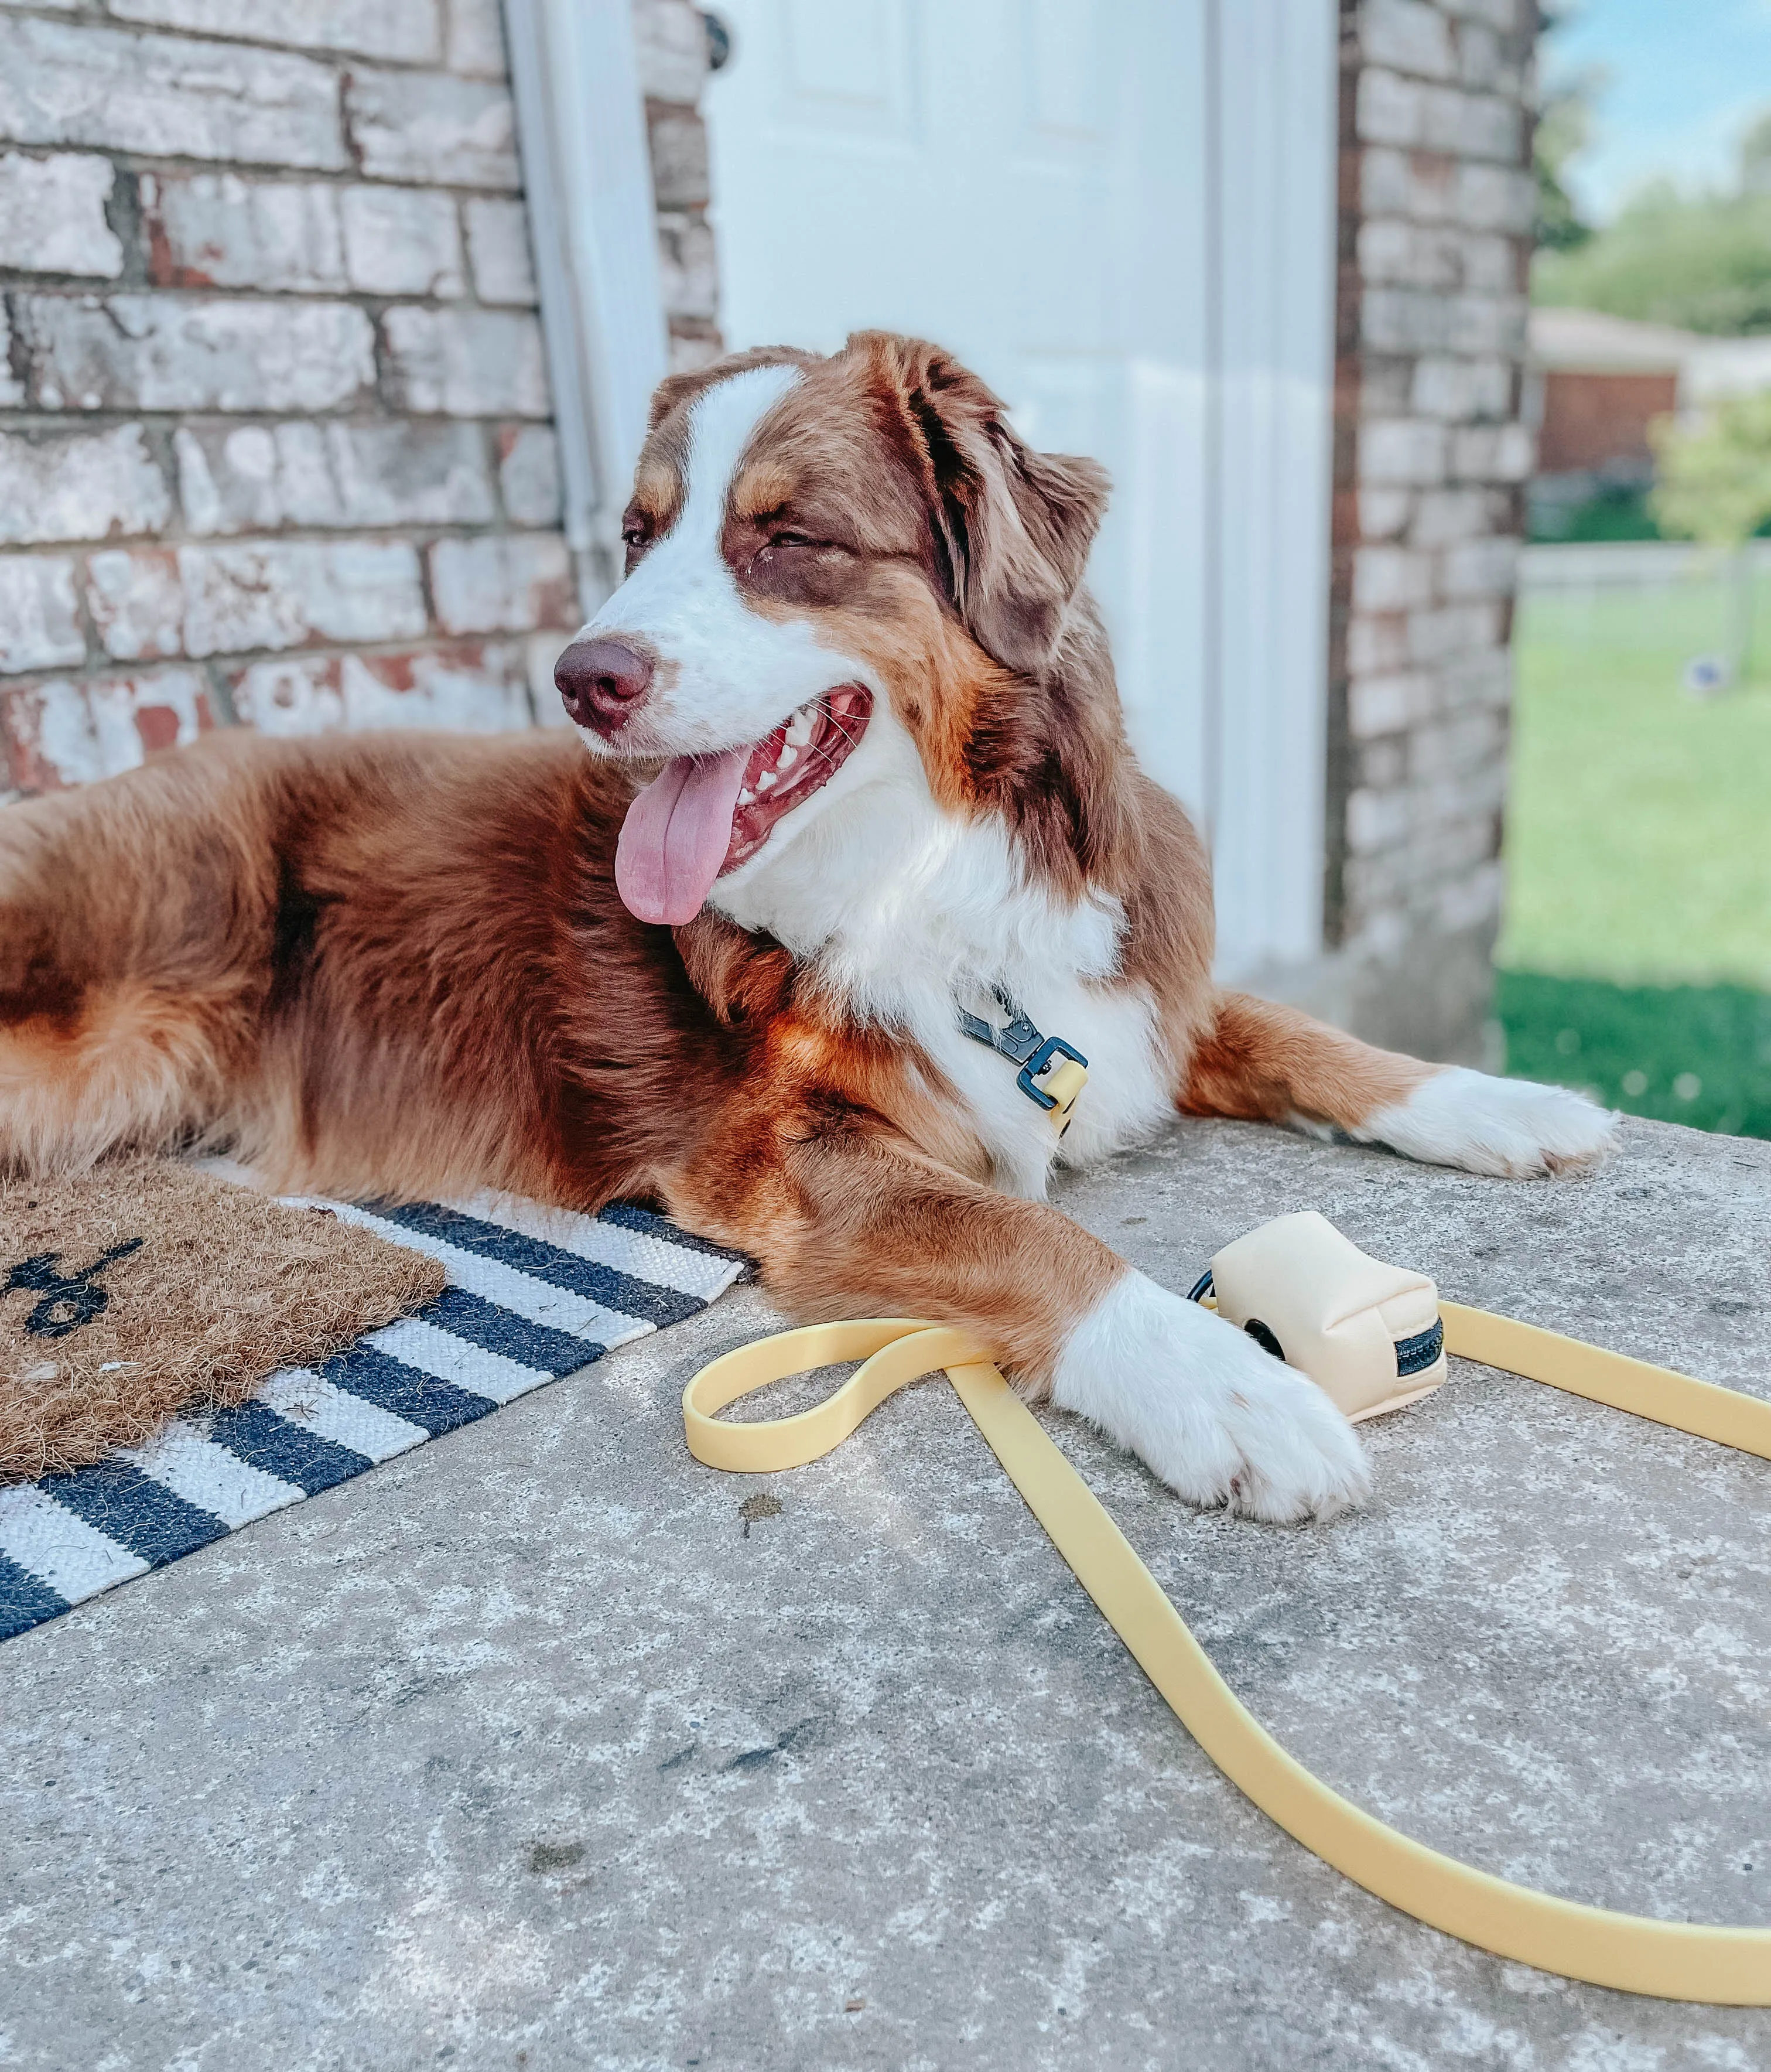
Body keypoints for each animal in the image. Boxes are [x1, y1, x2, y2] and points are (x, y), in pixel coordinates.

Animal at [0, 335, 1623, 1525]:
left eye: (789, 537)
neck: (931, 873)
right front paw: (1226, 1387)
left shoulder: (1120, 991)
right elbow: (1032, 1230)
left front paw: (1496, 1101)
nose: (578, 676)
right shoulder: (785, 1149)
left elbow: (1302, 1030)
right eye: (639, 535)